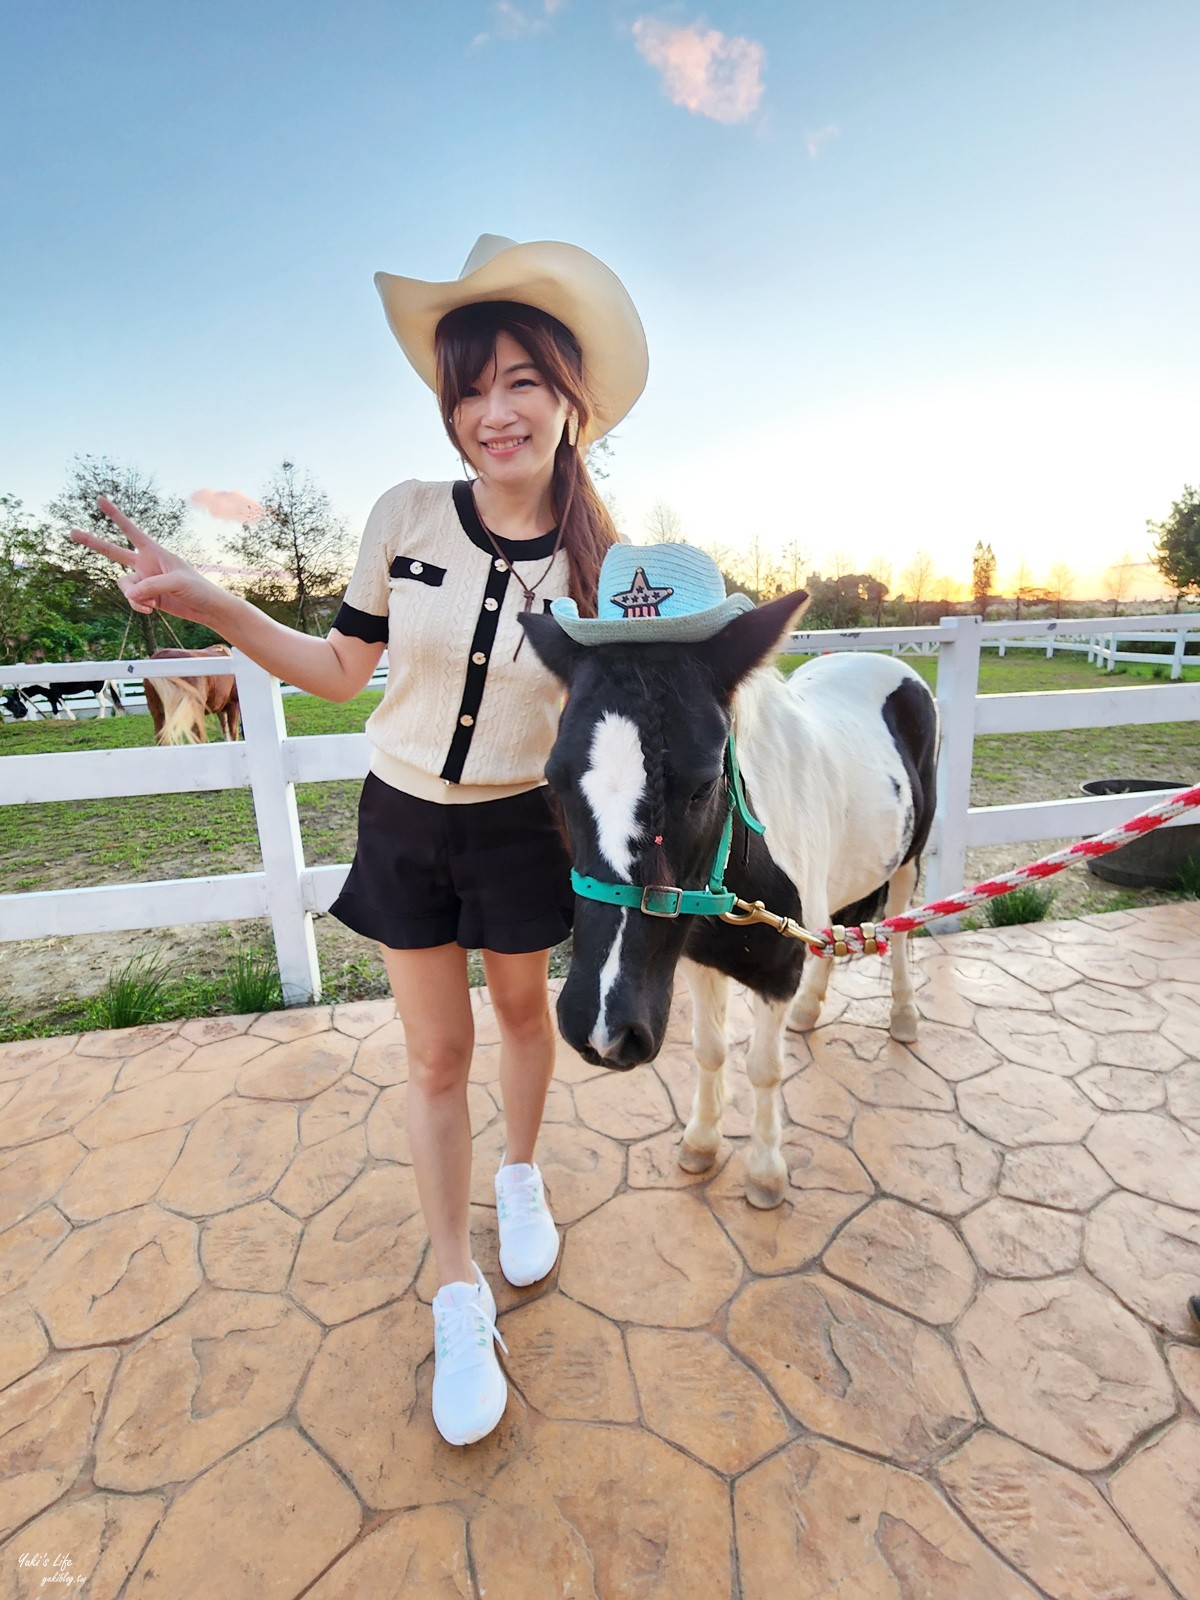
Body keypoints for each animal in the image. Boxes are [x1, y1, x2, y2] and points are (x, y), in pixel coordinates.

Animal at [524, 595, 940, 1203]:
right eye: (554, 780)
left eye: (702, 786)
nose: (601, 1030)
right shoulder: (695, 960)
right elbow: (710, 1049)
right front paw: (701, 1142)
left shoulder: (776, 974)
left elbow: (763, 1067)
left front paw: (765, 1171)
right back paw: (811, 1009)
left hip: (910, 858)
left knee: (901, 927)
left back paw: (905, 1016)